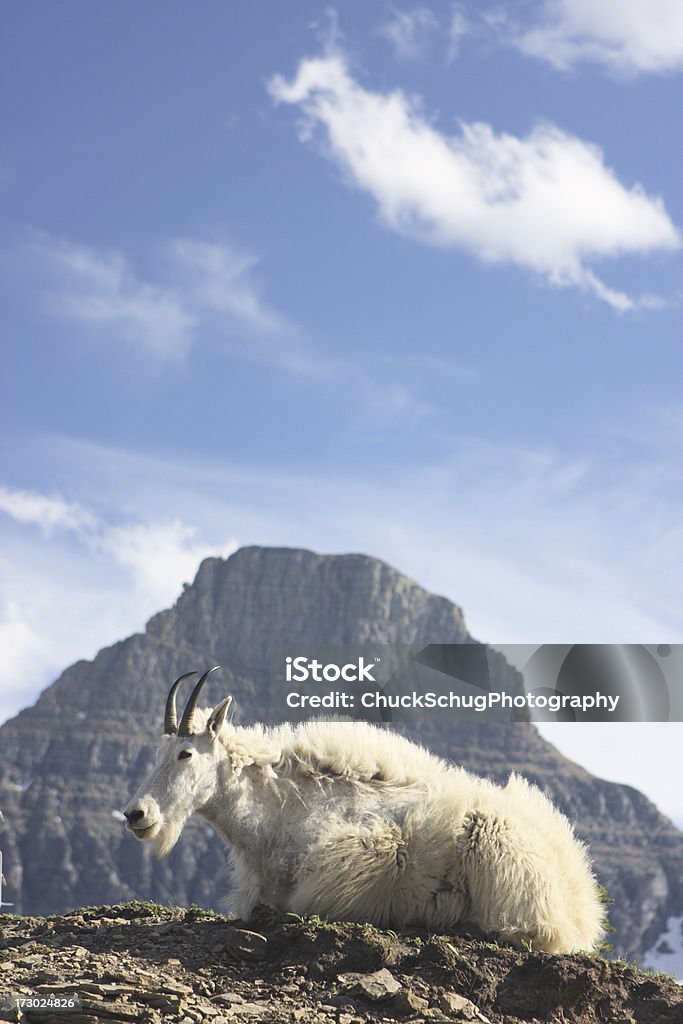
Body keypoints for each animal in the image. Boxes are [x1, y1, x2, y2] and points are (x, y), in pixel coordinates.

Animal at [122, 667, 602, 954]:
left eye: (185, 754)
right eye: (157, 753)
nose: (135, 815)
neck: (281, 812)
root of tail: (580, 900)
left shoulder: (360, 860)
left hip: (497, 847)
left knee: (532, 932)